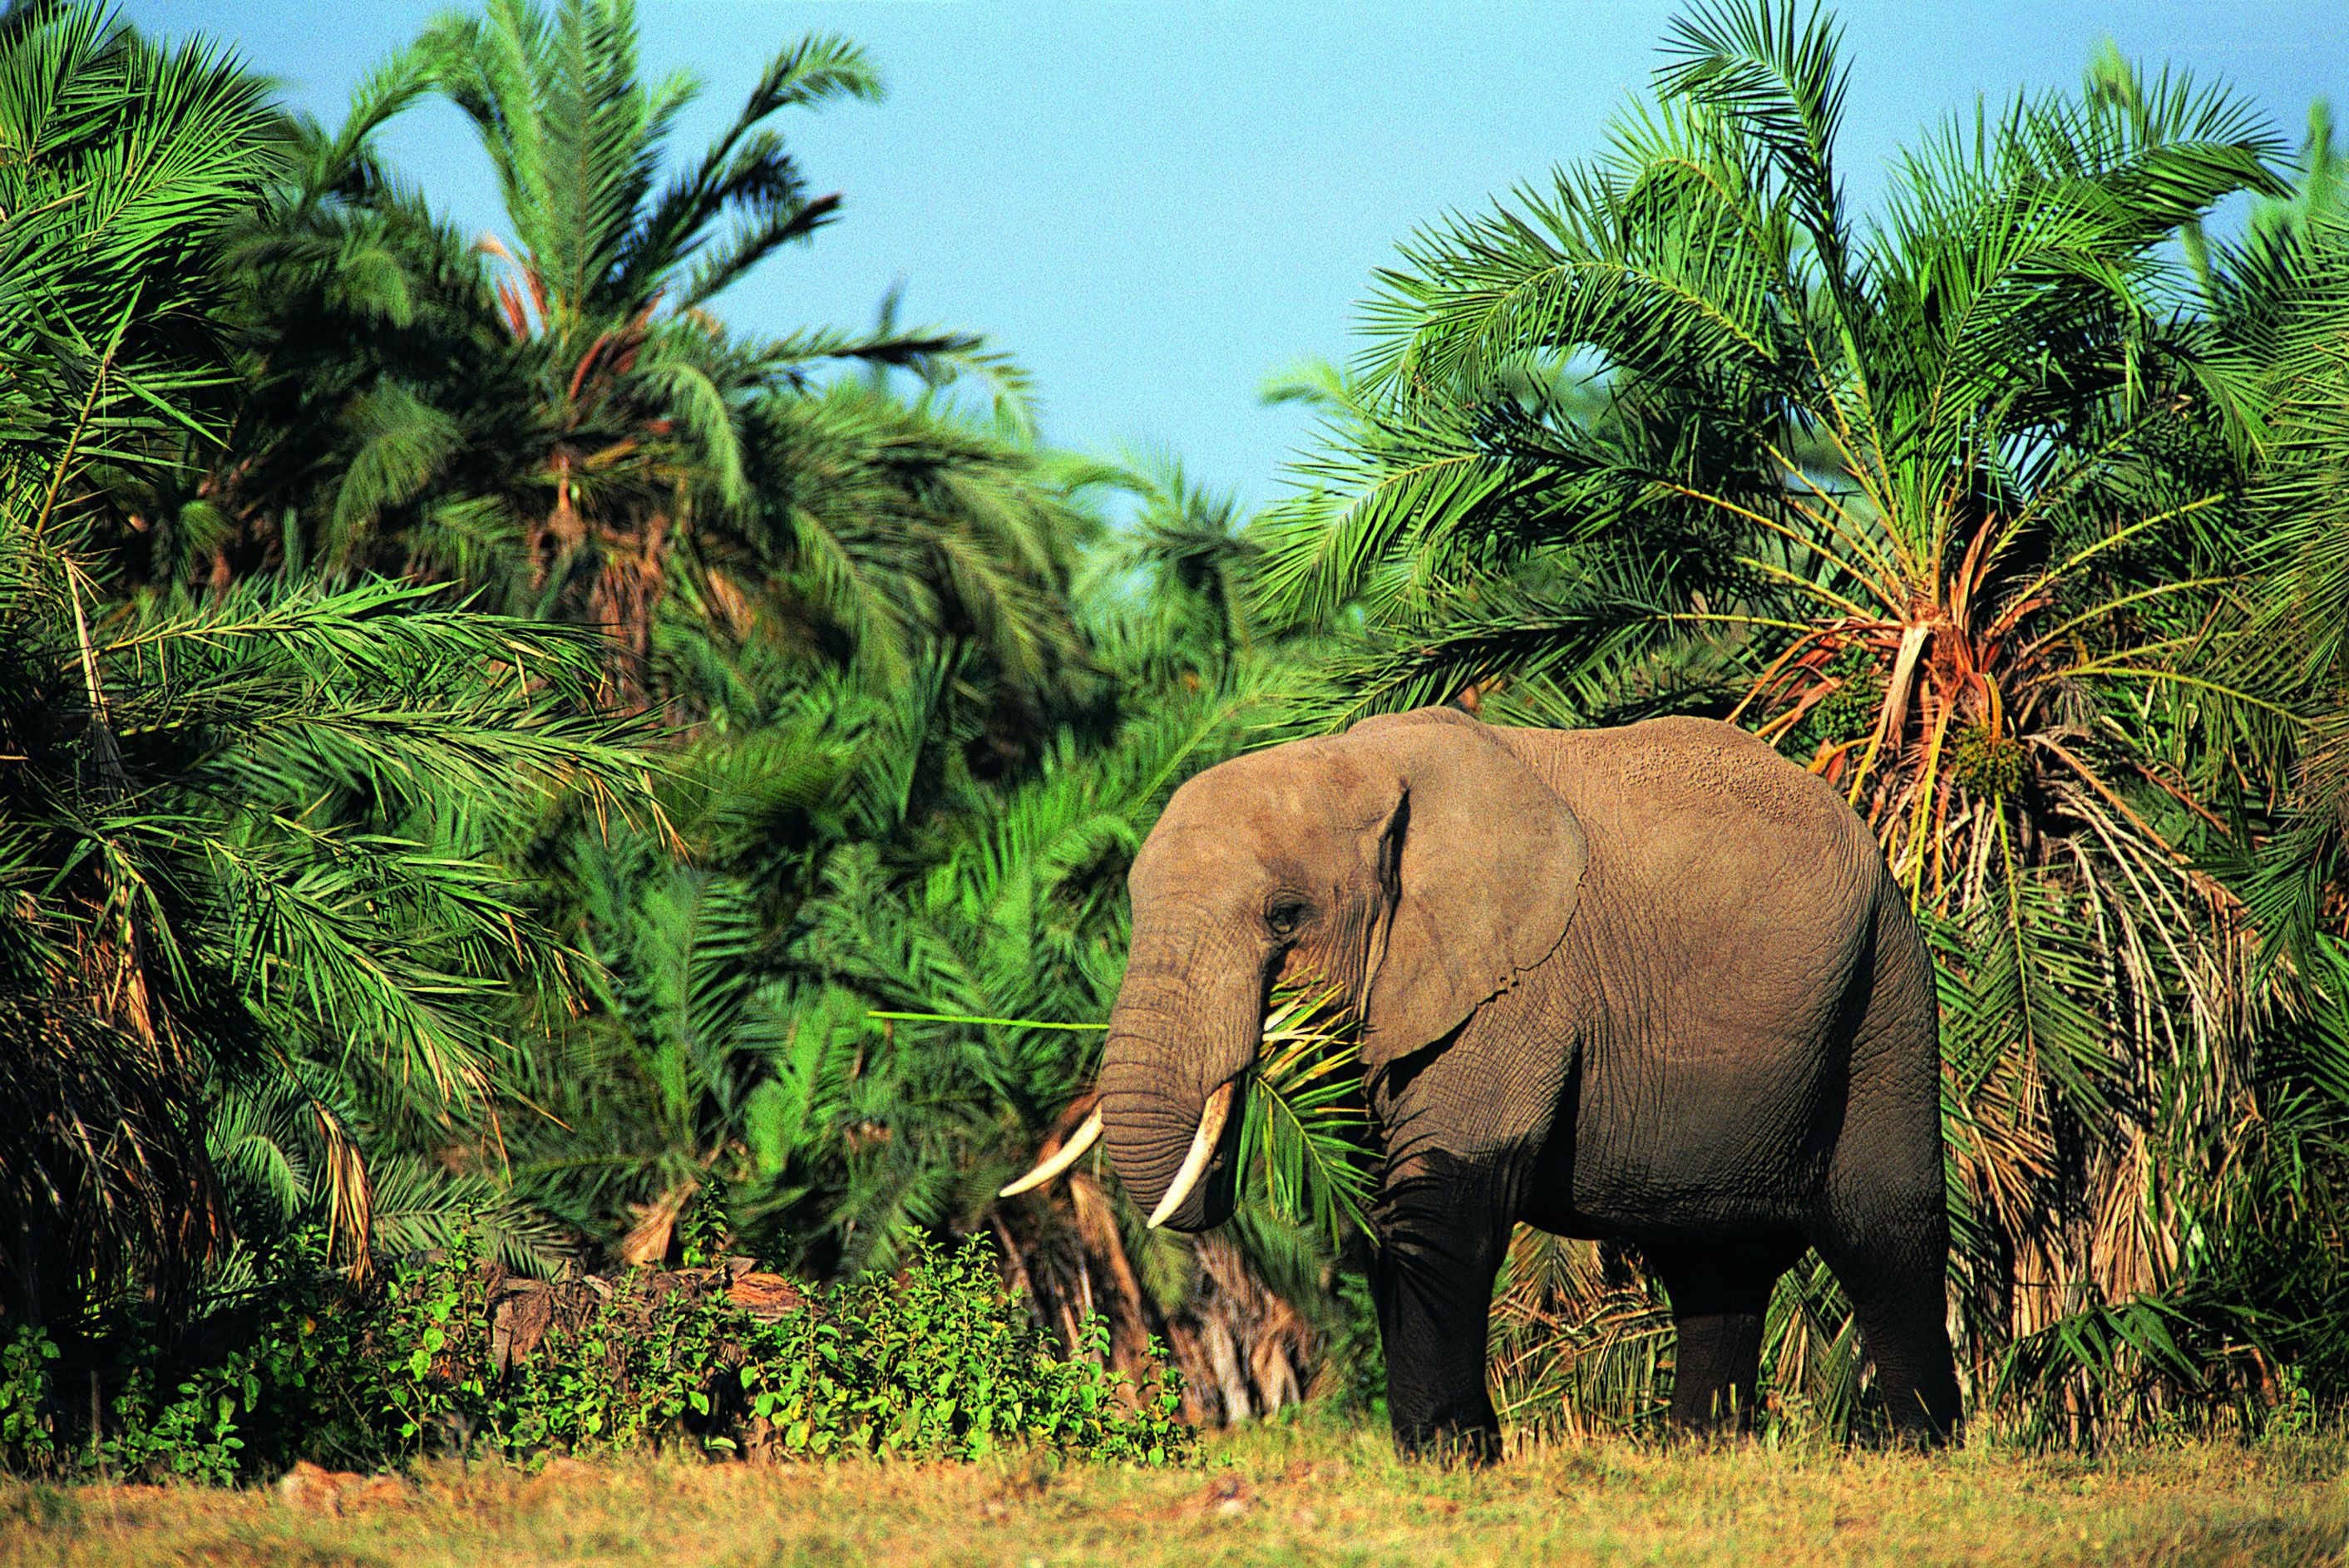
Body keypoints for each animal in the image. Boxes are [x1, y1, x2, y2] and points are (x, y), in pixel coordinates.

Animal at [1002, 705, 1961, 1456]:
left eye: (1284, 915)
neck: (1357, 764)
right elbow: (1381, 1199)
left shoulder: (1522, 979)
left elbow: (1442, 1191)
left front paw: (1448, 1457)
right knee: (1709, 1260)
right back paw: (1701, 1452)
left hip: (1886, 984)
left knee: (1881, 1222)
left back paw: (1923, 1448)